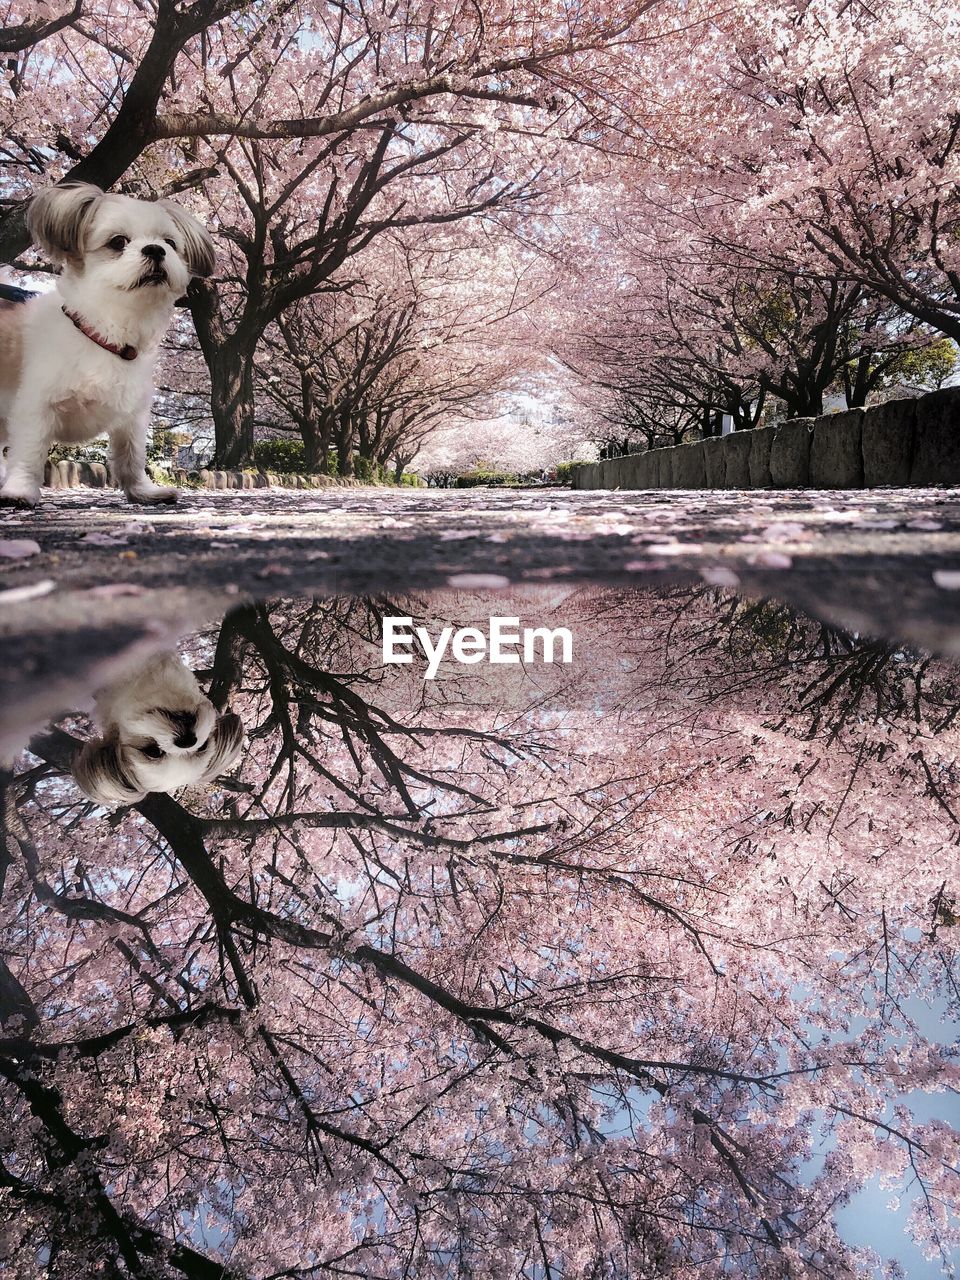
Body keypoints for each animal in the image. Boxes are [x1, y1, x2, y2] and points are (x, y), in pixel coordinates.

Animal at [0, 181, 213, 509]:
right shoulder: (35, 408)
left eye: (170, 243)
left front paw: (143, 492)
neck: (105, 334)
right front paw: (20, 491)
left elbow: (131, 457)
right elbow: (29, 452)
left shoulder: (132, 417)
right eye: (117, 242)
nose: (155, 249)